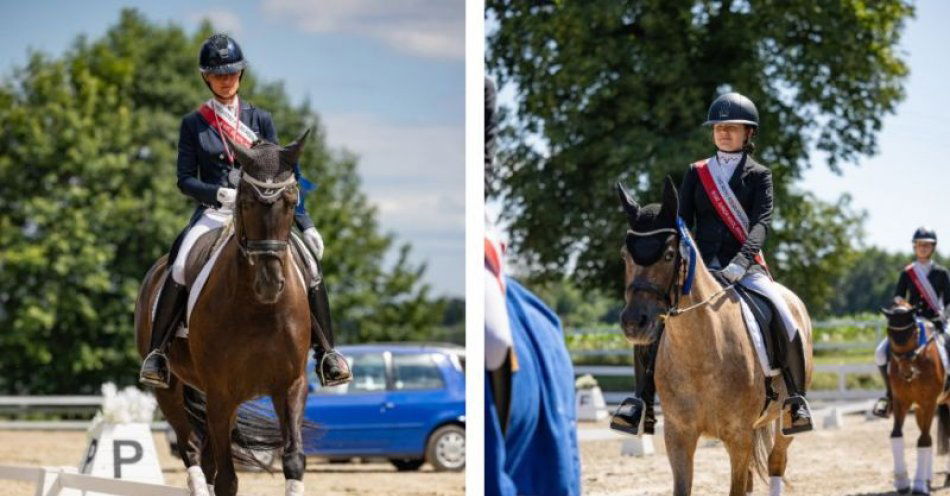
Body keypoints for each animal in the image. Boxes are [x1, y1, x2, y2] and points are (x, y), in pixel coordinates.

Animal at [136, 129, 314, 496]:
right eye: (244, 202)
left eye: (292, 202)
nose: (269, 283)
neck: (260, 310)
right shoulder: (221, 393)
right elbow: (226, 480)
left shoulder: (290, 386)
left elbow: (293, 461)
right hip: (170, 389)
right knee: (191, 449)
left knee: (204, 456)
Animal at [616, 178, 820, 496]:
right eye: (625, 256)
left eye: (669, 255)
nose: (634, 323)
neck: (700, 353)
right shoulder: (678, 435)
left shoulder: (739, 436)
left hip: (782, 418)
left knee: (776, 461)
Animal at [880, 304, 948, 494]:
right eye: (889, 332)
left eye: (914, 333)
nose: (906, 372)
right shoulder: (901, 402)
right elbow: (896, 435)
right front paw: (903, 482)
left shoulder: (929, 403)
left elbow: (923, 440)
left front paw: (918, 485)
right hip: (919, 409)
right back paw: (928, 480)